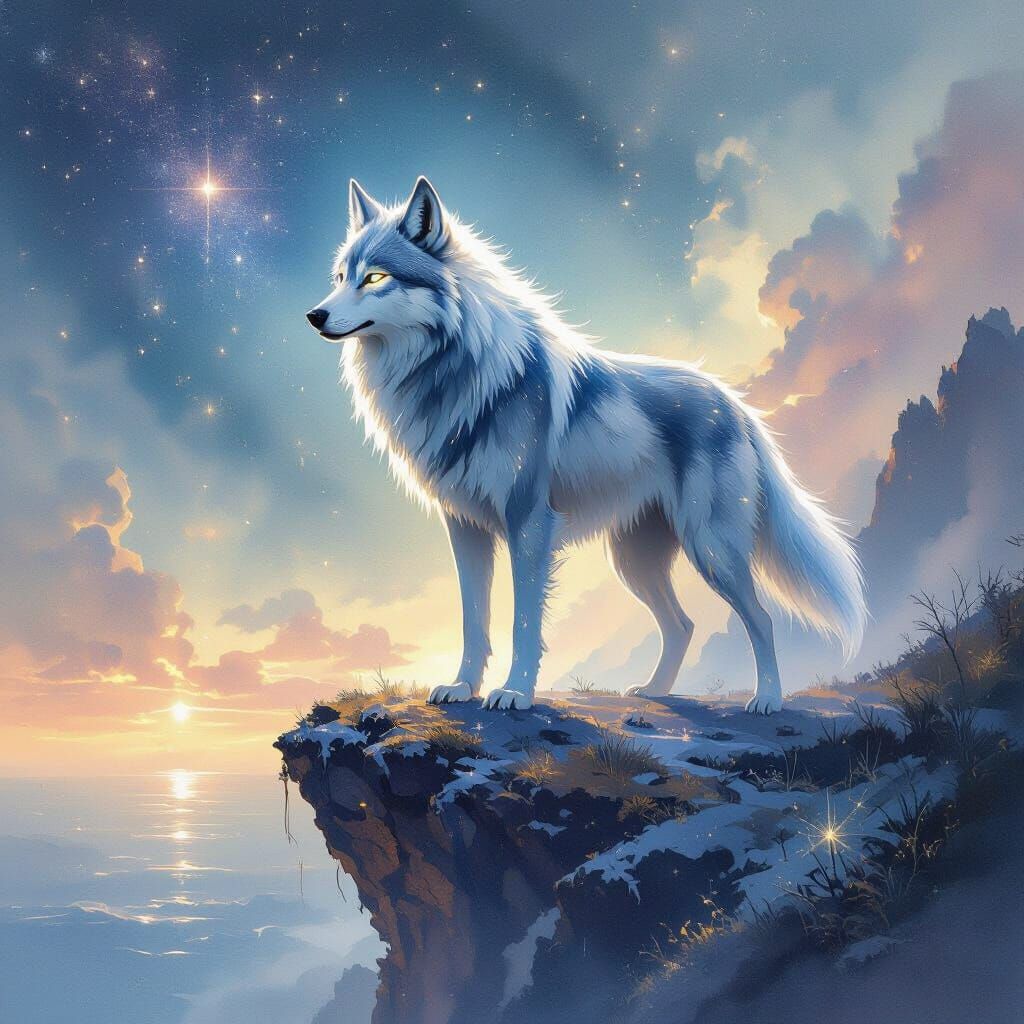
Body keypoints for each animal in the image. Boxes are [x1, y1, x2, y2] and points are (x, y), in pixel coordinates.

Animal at [306, 177, 866, 713]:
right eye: (340, 277)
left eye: (375, 278)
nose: (314, 315)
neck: (452, 373)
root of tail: (737, 405)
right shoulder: (465, 528)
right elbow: (473, 621)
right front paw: (462, 687)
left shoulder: (529, 524)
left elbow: (523, 624)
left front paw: (515, 693)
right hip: (635, 563)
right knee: (682, 624)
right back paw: (655, 692)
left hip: (711, 549)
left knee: (763, 619)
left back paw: (767, 699)